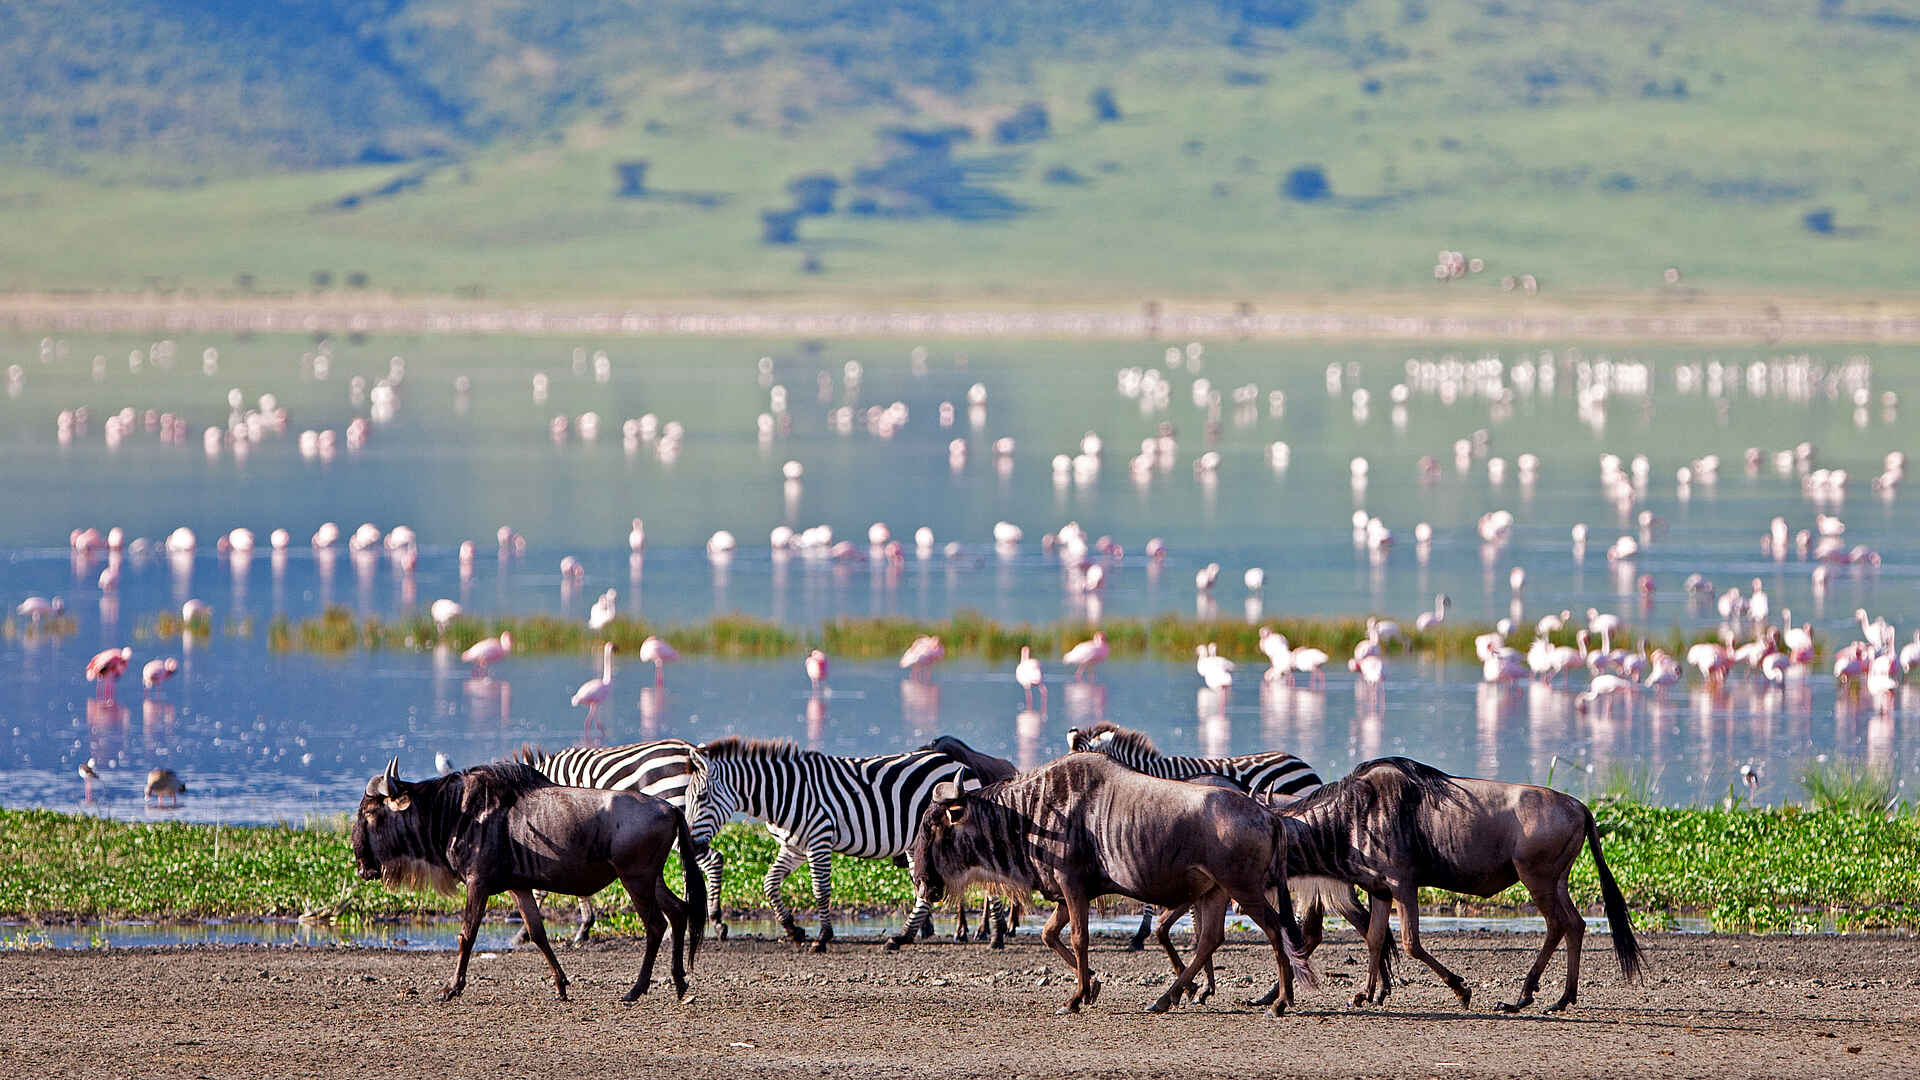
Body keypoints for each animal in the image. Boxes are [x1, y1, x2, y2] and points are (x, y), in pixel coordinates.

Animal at [686, 736, 1002, 952]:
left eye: (701, 798)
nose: (692, 846)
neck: (783, 794)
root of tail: (962, 766)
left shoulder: (819, 840)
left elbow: (820, 890)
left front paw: (822, 937)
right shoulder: (793, 847)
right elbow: (769, 884)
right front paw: (793, 929)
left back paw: (996, 937)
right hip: (918, 844)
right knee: (923, 889)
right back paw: (902, 937)